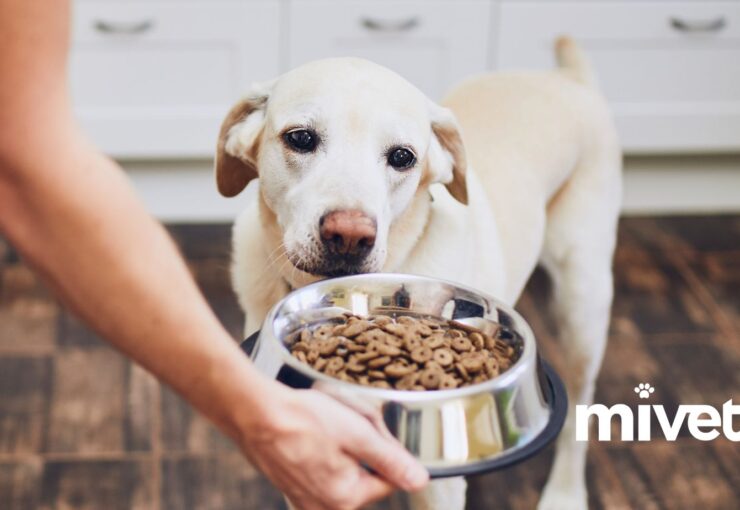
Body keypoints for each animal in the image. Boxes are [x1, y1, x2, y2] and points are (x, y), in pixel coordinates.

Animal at [217, 36, 620, 510]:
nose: (349, 236)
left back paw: (565, 494)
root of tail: (569, 79)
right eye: (300, 138)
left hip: (583, 307)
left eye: (402, 157)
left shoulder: (438, 485)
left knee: (580, 411)